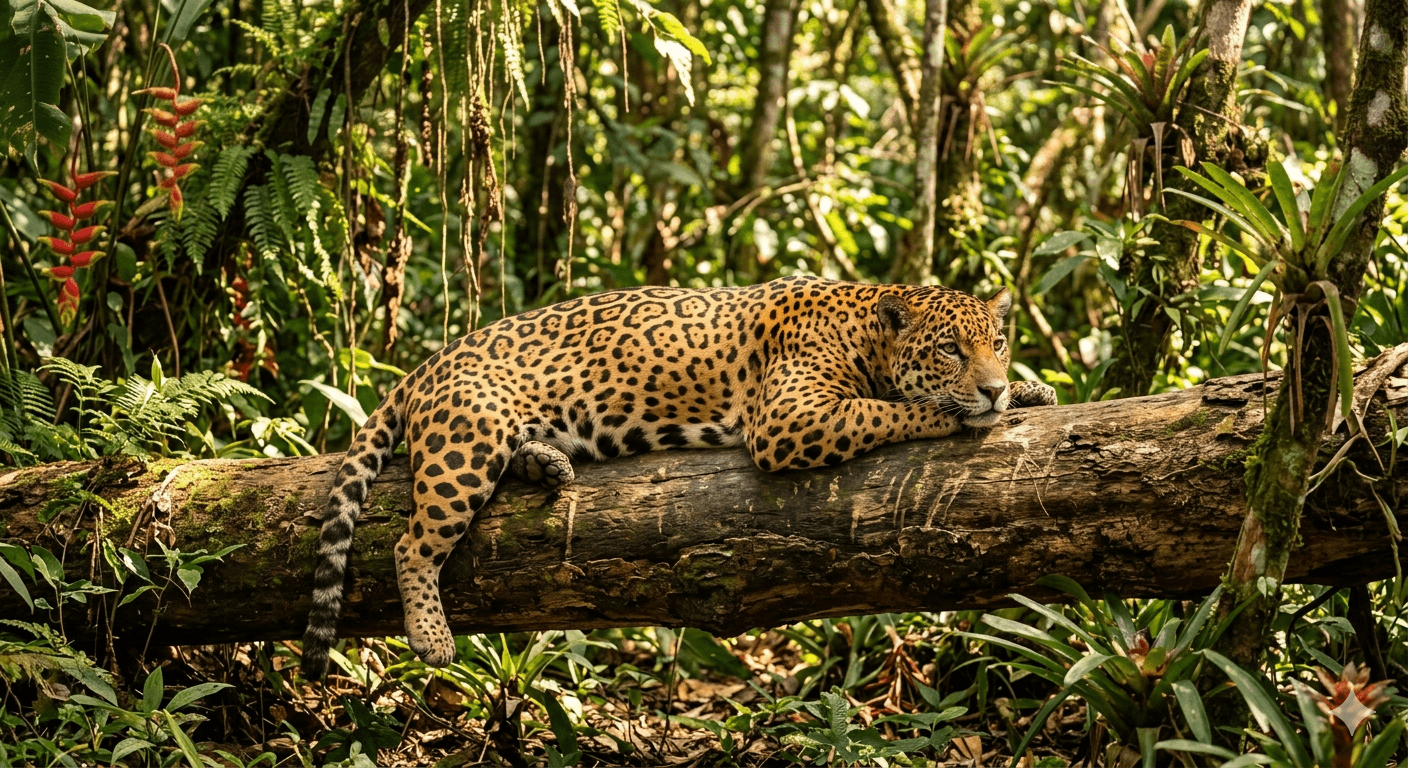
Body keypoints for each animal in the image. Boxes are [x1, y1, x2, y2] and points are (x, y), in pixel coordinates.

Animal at [300, 275, 1056, 678]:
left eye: (999, 342)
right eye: (949, 350)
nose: (991, 388)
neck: (869, 331)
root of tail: (427, 363)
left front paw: (1029, 391)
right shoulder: (790, 417)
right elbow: (893, 409)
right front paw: (957, 412)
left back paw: (547, 461)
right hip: (467, 440)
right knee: (411, 543)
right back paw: (430, 636)